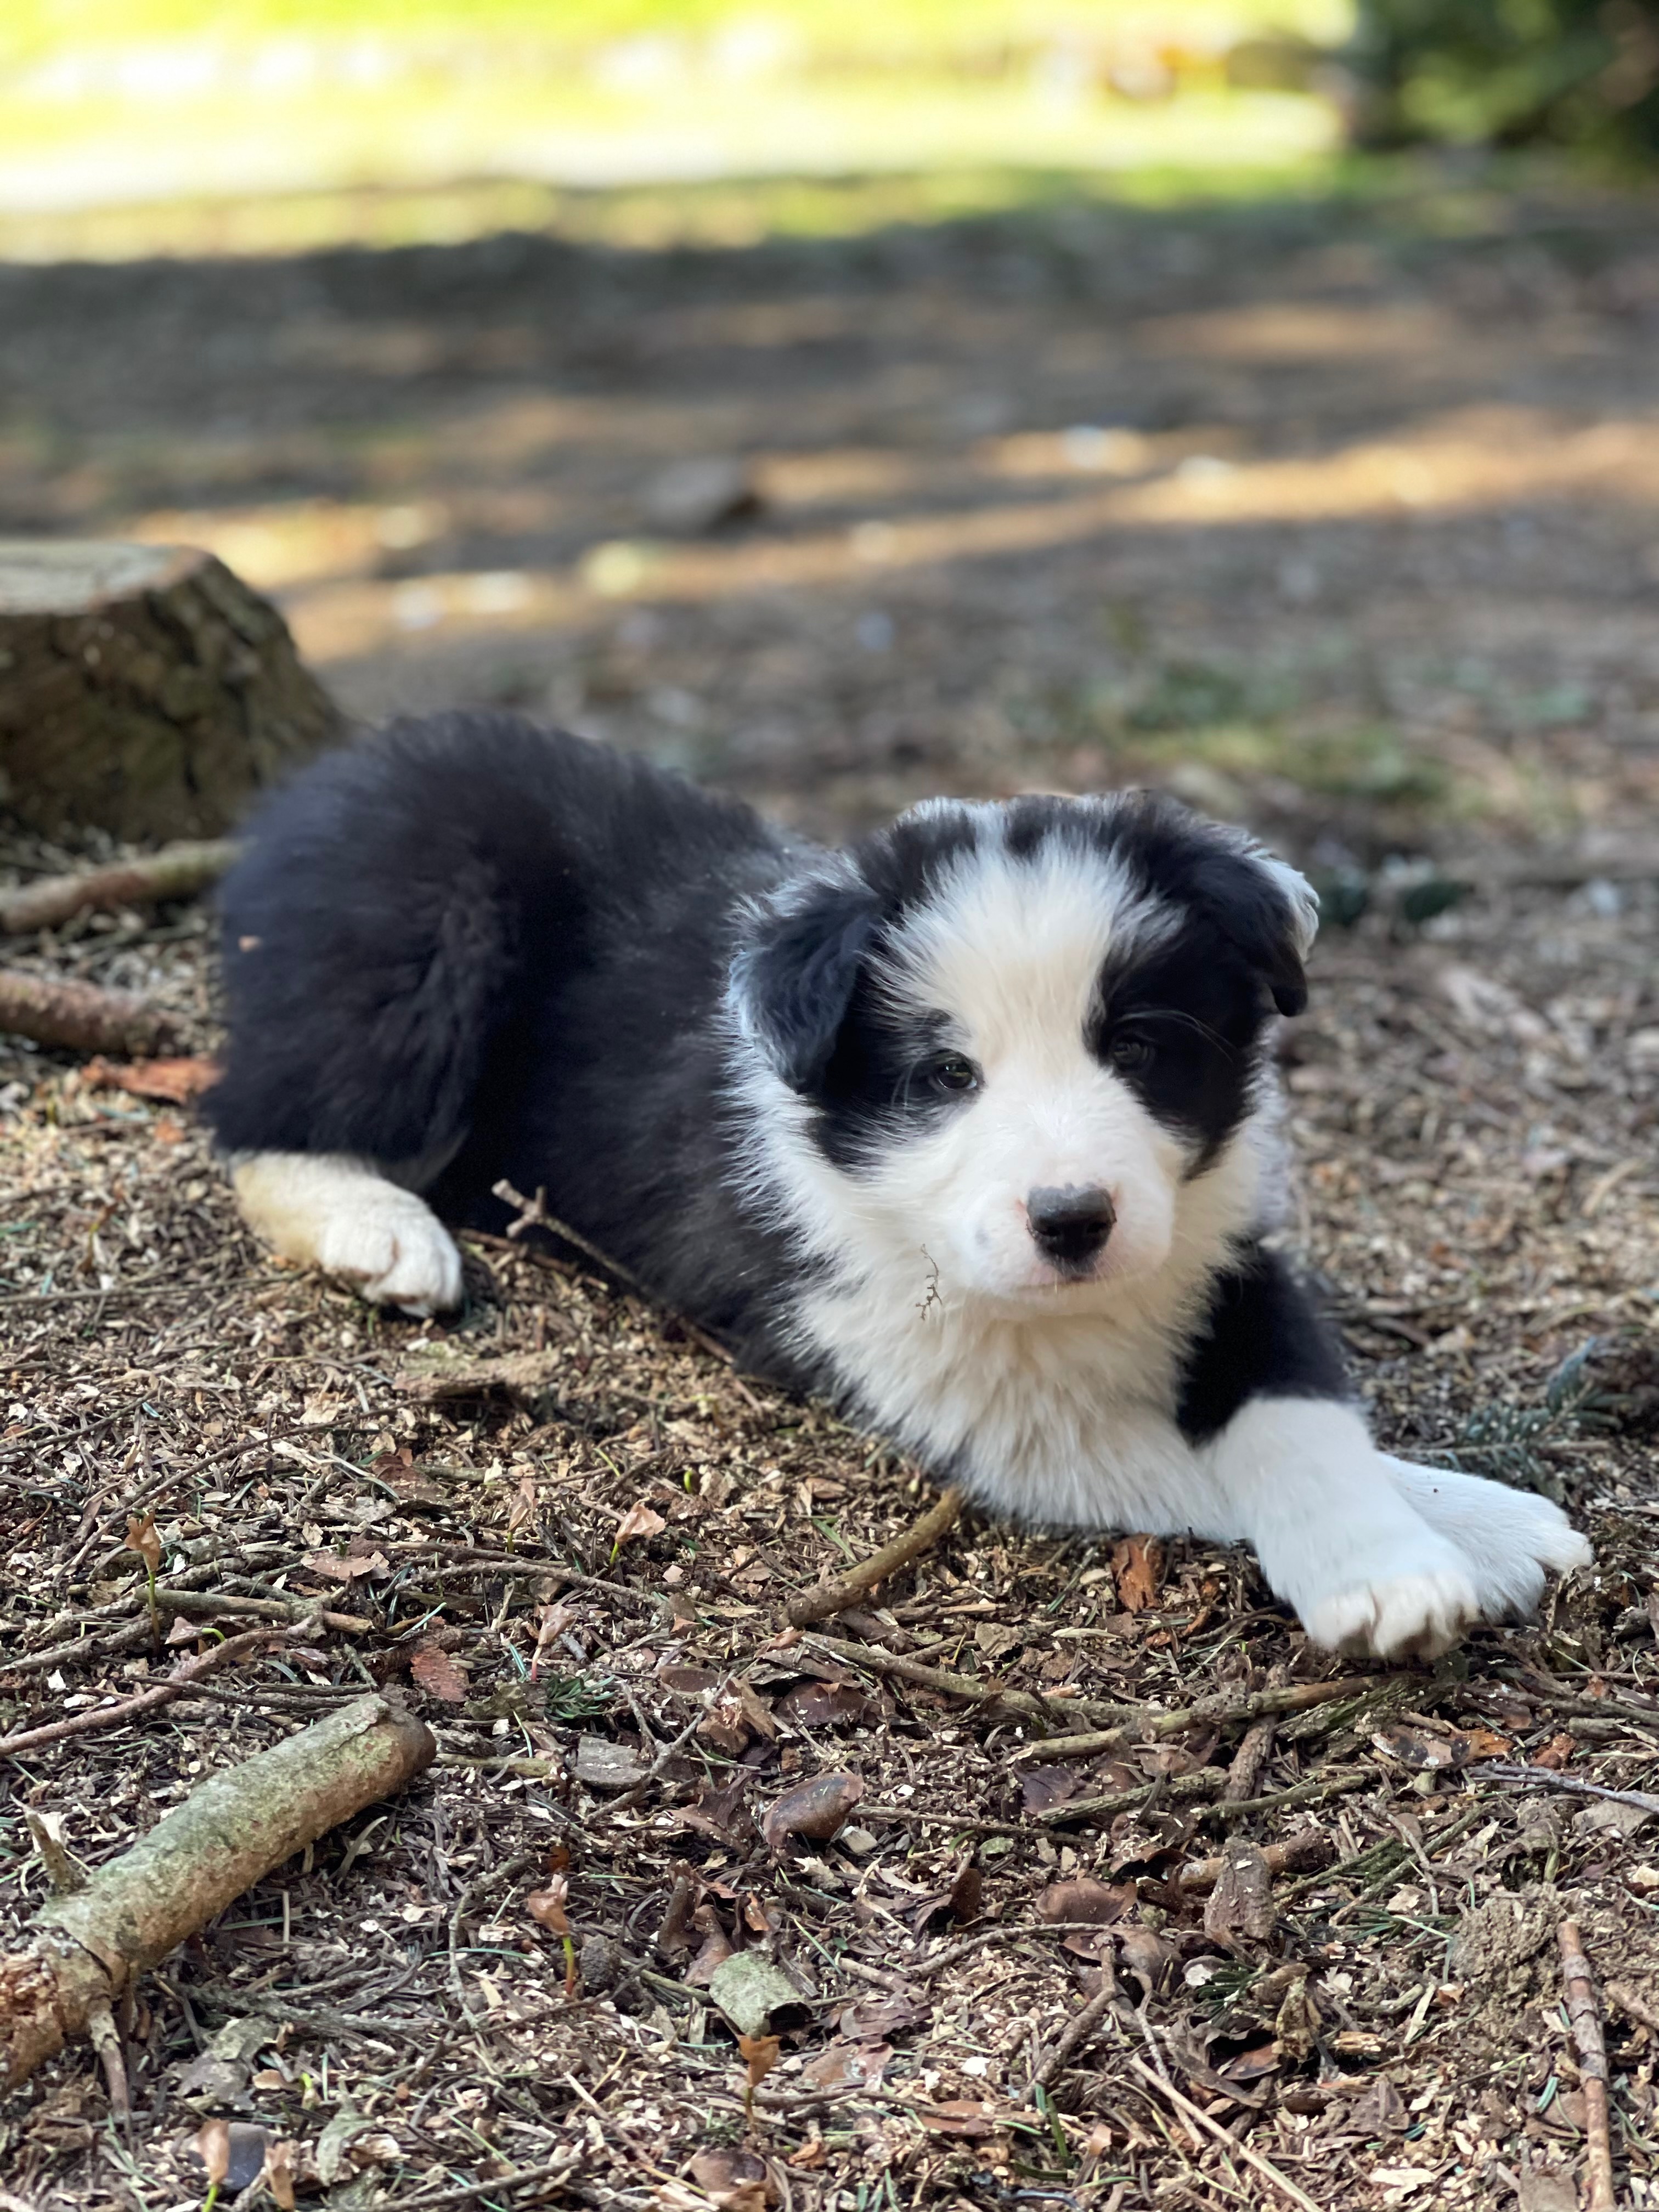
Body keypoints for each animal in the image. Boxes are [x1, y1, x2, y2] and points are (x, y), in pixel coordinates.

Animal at [208, 703, 1601, 1645]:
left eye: (1139, 1047)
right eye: (943, 1077)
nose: (1073, 1220)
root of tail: (335, 774)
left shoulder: (1219, 1251)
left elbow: (1302, 1407)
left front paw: (1449, 1526)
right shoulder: (958, 1384)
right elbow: (1193, 1458)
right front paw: (1431, 1562)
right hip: (421, 935)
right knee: (257, 1115)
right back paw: (375, 1230)